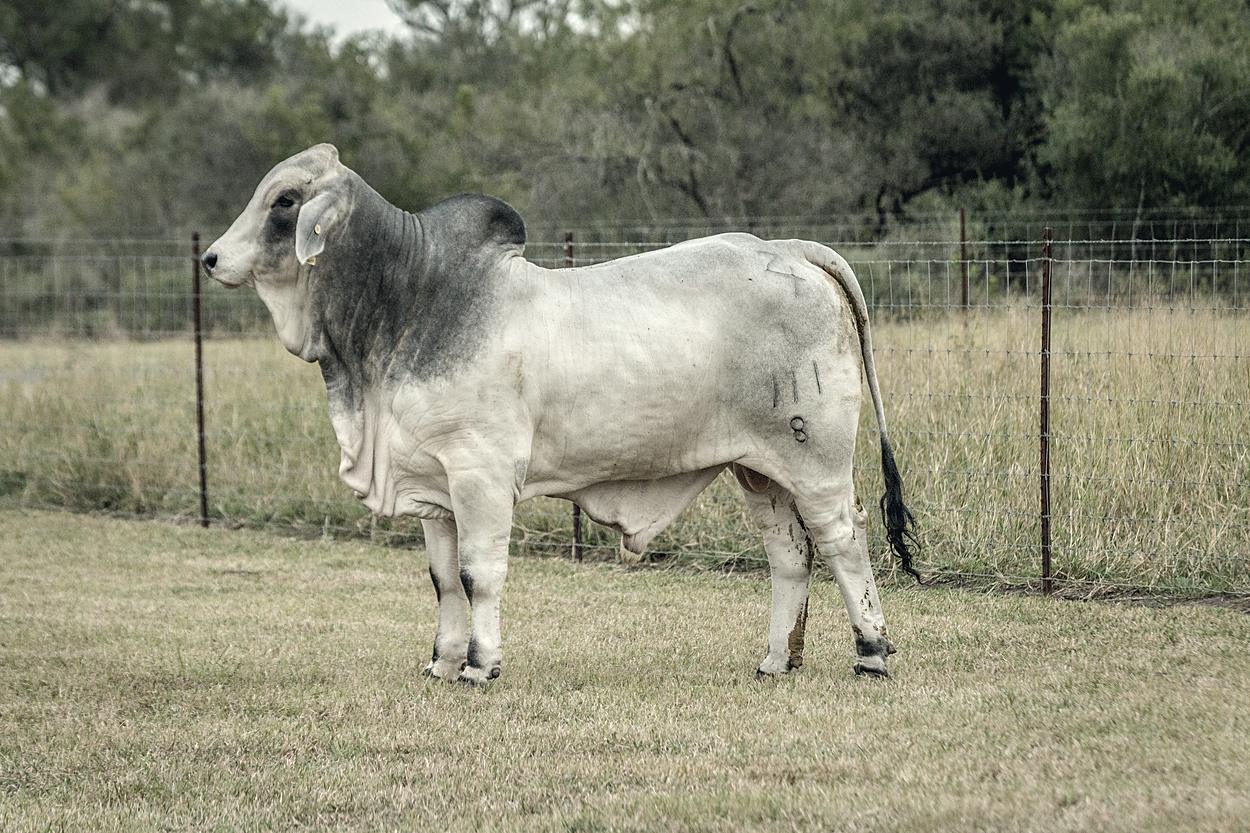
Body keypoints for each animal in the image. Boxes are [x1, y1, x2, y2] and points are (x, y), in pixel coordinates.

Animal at [204, 144, 919, 685]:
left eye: (284, 201)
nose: (210, 258)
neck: (411, 301)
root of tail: (794, 248)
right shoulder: (433, 485)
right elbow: (442, 580)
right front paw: (441, 663)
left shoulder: (481, 474)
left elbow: (478, 574)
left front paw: (480, 666)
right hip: (758, 469)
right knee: (789, 552)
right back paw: (776, 660)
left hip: (816, 457)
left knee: (843, 538)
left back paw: (872, 654)